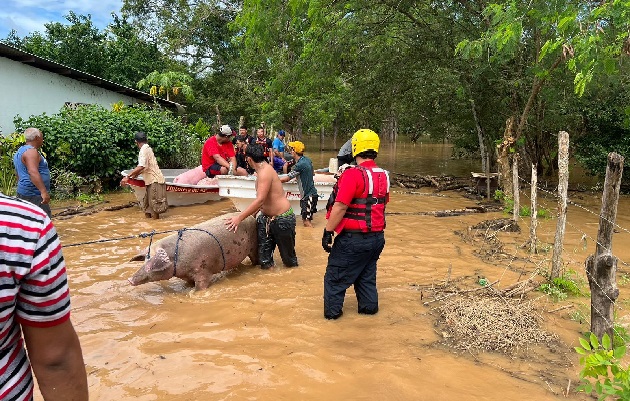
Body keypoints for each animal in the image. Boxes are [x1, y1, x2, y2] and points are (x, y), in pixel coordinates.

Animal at [128, 211, 260, 290]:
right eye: (145, 260)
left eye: (150, 266)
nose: (129, 280)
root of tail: (251, 217)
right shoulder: (186, 276)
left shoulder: (202, 270)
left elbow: (201, 287)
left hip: (254, 244)